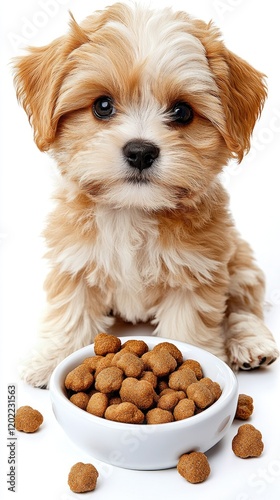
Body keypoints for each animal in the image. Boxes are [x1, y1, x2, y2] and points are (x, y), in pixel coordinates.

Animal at [14, 1, 278, 388]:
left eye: (182, 111)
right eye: (102, 106)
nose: (140, 151)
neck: (131, 211)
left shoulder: (197, 270)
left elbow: (187, 327)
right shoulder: (74, 261)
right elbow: (72, 311)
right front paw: (53, 358)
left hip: (241, 264)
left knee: (244, 307)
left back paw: (251, 343)